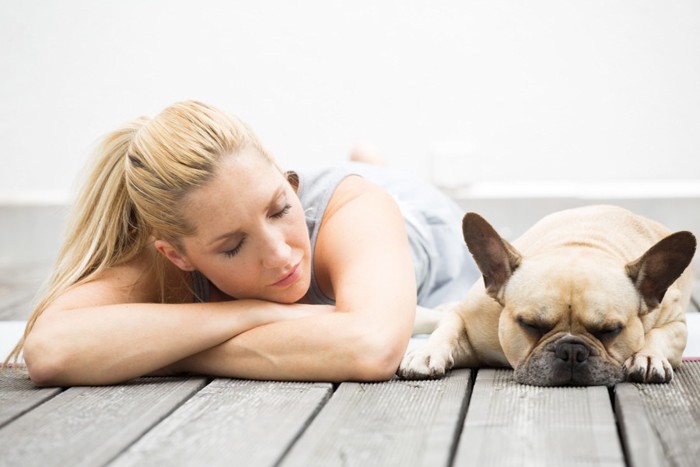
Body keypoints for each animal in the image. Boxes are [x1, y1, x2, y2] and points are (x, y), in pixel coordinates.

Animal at [400, 206, 696, 388]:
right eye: (530, 325)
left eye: (610, 330)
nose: (572, 351)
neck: (579, 243)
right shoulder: (470, 316)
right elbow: (448, 327)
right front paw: (426, 352)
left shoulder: (677, 323)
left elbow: (658, 335)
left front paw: (648, 357)